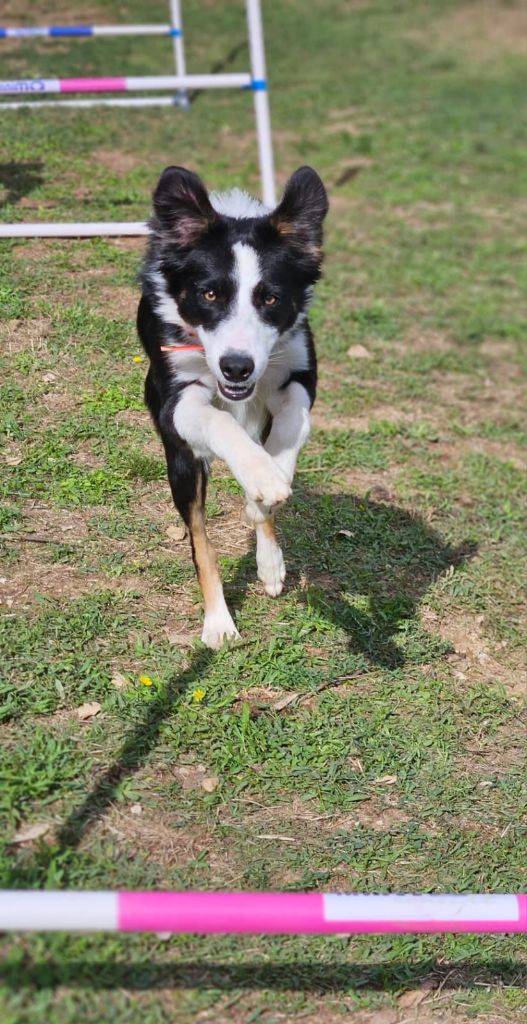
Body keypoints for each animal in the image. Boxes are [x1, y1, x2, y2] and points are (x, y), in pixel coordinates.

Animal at [138, 165, 327, 647]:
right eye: (208, 295)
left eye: (271, 298)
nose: (237, 367)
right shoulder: (175, 401)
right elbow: (219, 425)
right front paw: (263, 475)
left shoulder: (299, 373)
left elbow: (293, 421)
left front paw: (271, 478)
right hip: (180, 466)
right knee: (200, 539)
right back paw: (219, 623)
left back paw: (269, 560)